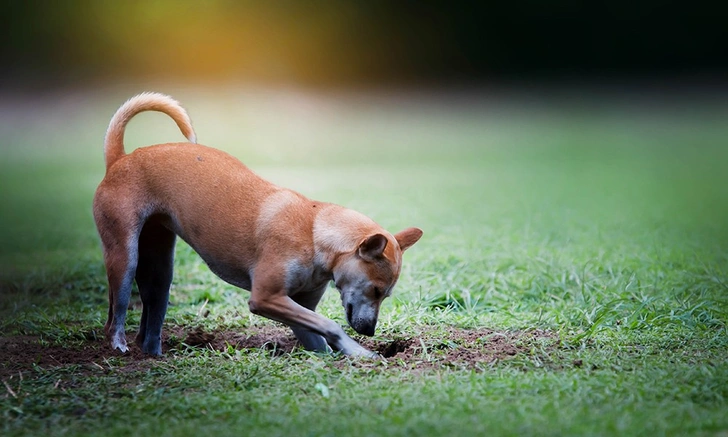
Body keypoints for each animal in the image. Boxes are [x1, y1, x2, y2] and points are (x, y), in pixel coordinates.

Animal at [92, 90, 420, 356]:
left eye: (385, 295)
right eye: (376, 290)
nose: (369, 332)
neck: (314, 232)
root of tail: (119, 159)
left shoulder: (297, 307)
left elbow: (319, 334)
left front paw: (345, 354)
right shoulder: (266, 297)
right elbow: (330, 324)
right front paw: (360, 351)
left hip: (160, 266)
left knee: (151, 314)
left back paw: (152, 353)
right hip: (124, 256)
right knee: (115, 314)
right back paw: (118, 344)